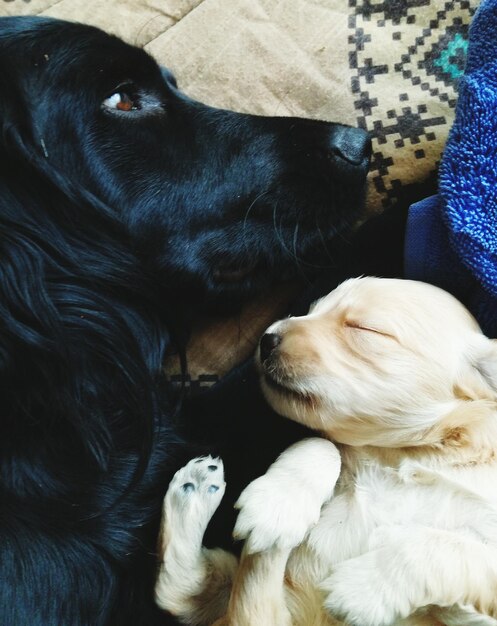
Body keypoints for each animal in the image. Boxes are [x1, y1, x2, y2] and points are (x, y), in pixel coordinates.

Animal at [154, 278, 496, 624]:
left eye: (366, 328)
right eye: (311, 310)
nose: (267, 338)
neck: (401, 455)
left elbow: (451, 550)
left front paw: (363, 587)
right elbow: (323, 444)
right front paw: (278, 502)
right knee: (190, 591)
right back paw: (202, 495)